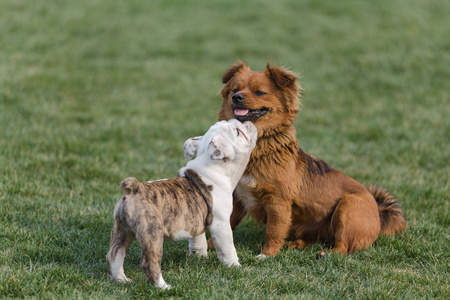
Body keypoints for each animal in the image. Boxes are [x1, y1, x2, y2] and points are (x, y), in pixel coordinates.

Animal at [106, 119, 258, 288]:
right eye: (238, 132)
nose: (240, 120)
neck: (214, 166)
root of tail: (134, 189)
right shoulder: (221, 224)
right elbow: (228, 247)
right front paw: (235, 266)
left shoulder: (195, 220)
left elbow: (197, 239)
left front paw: (199, 256)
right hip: (152, 233)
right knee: (149, 262)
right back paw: (163, 287)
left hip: (122, 229)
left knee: (115, 254)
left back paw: (121, 280)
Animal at [216, 61, 406, 258]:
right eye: (234, 89)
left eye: (259, 92)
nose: (236, 97)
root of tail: (379, 211)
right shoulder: (235, 198)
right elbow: (224, 227)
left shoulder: (278, 201)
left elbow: (273, 231)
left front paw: (266, 255)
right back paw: (297, 244)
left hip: (348, 207)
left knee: (343, 247)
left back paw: (326, 254)